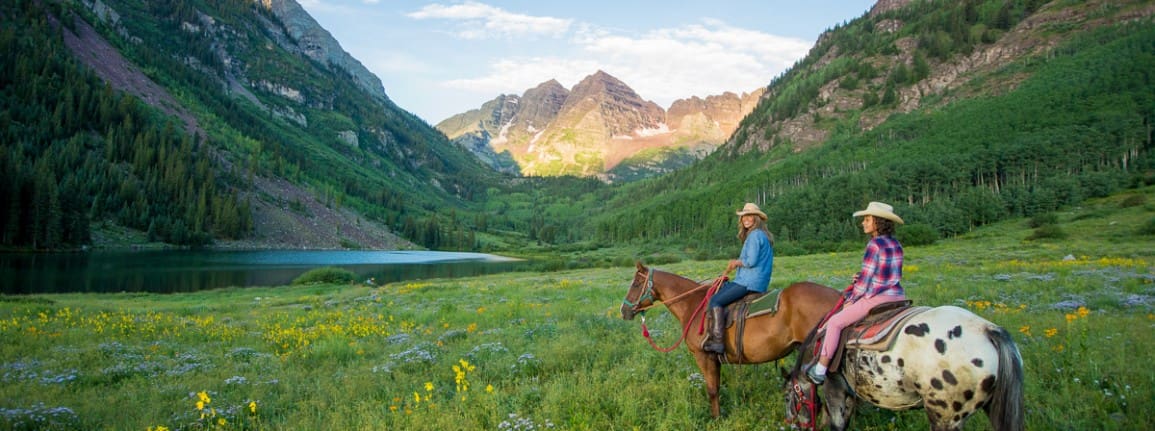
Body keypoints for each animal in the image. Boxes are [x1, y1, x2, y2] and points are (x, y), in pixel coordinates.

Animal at [623, 259, 840, 418]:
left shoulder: (704, 356)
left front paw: (716, 419)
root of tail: (839, 297)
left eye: (636, 284)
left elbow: (712, 389)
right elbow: (716, 387)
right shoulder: (715, 359)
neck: (692, 304)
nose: (623, 311)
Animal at [785, 305, 1021, 427]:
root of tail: (988, 331)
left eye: (787, 397)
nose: (791, 422)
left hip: (944, 417)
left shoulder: (835, 388)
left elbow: (836, 423)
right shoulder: (849, 393)